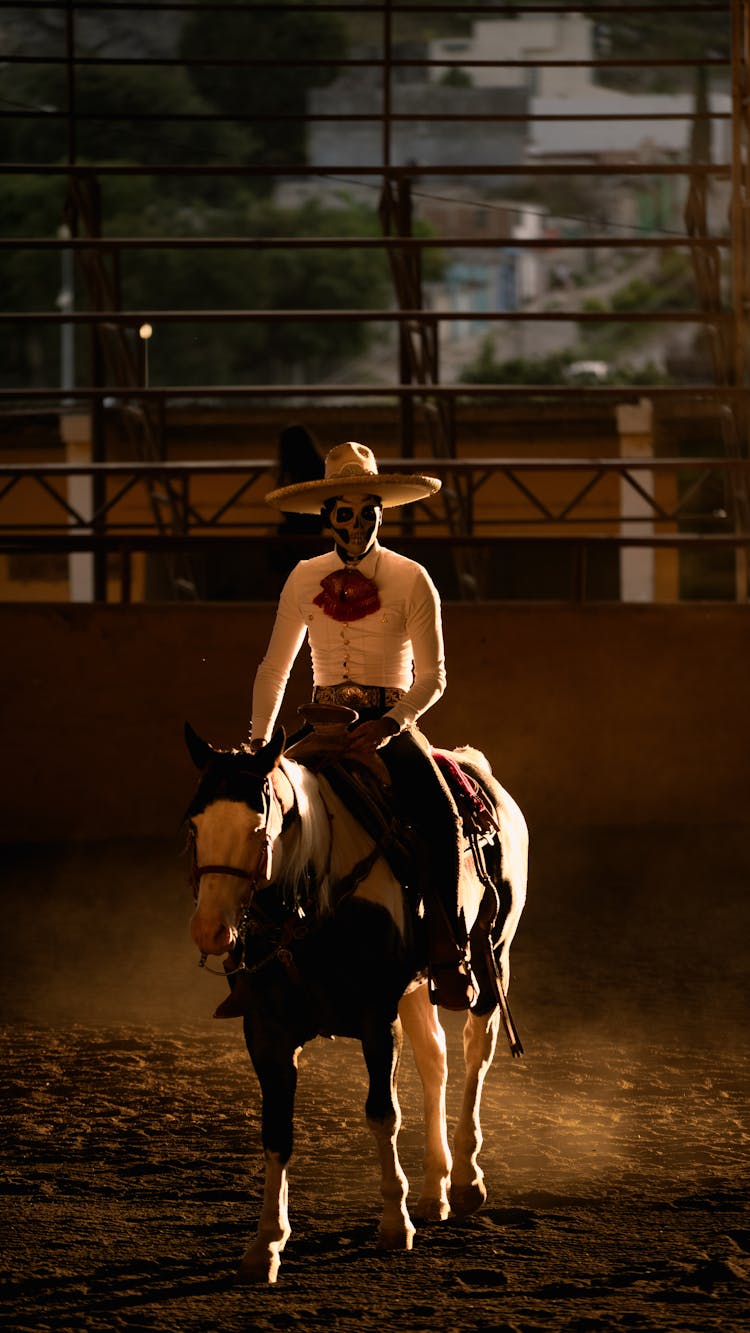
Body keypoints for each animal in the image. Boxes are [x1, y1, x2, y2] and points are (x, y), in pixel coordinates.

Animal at [185, 725, 527, 1285]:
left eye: (258, 829)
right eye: (195, 825)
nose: (211, 931)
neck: (311, 903)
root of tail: (478, 769)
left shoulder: (376, 1019)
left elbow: (382, 1113)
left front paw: (394, 1223)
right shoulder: (266, 1031)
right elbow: (276, 1131)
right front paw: (266, 1244)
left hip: (491, 954)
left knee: (476, 1054)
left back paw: (465, 1181)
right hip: (418, 988)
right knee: (436, 1062)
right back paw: (435, 1190)